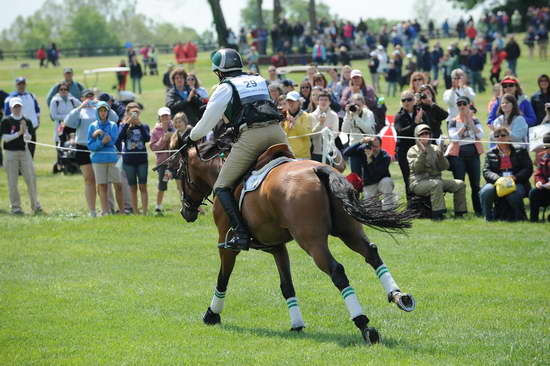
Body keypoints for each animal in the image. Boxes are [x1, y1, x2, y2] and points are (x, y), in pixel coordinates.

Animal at [179, 139, 416, 344]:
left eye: (180, 173)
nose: (186, 212)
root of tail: (320, 170)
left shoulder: (227, 244)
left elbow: (223, 279)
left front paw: (212, 314)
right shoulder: (277, 247)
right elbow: (287, 285)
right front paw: (297, 324)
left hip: (311, 241)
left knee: (337, 271)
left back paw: (364, 325)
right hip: (348, 231)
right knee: (371, 253)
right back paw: (399, 297)